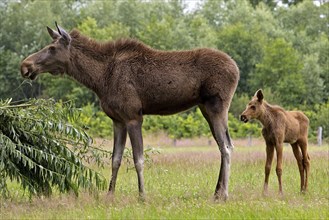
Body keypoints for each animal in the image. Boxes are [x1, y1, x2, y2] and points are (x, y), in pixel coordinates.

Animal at [21, 22, 238, 201]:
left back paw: (224, 194)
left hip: (217, 106)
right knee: (223, 146)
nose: (25, 66)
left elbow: (138, 159)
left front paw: (142, 196)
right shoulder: (117, 120)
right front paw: (110, 194)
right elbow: (115, 159)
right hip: (205, 108)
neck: (98, 79)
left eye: (52, 48)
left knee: (227, 147)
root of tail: (236, 69)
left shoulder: (133, 117)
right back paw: (216, 192)